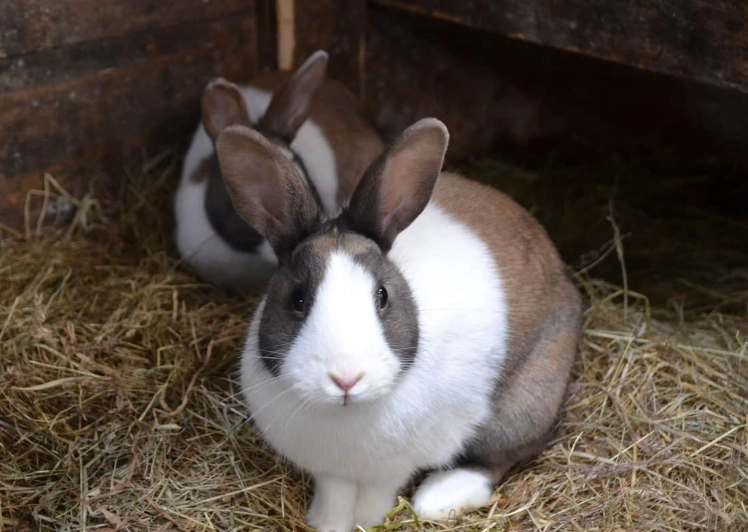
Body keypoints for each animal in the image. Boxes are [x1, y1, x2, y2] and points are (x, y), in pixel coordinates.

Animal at [215, 117, 583, 531]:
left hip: (525, 405)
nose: (346, 379)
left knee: (497, 458)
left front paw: (368, 521)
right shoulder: (331, 473)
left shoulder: (393, 469)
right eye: (297, 298)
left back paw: (437, 498)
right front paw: (325, 523)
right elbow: (335, 495)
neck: (346, 414)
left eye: (382, 296)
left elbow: (378, 495)